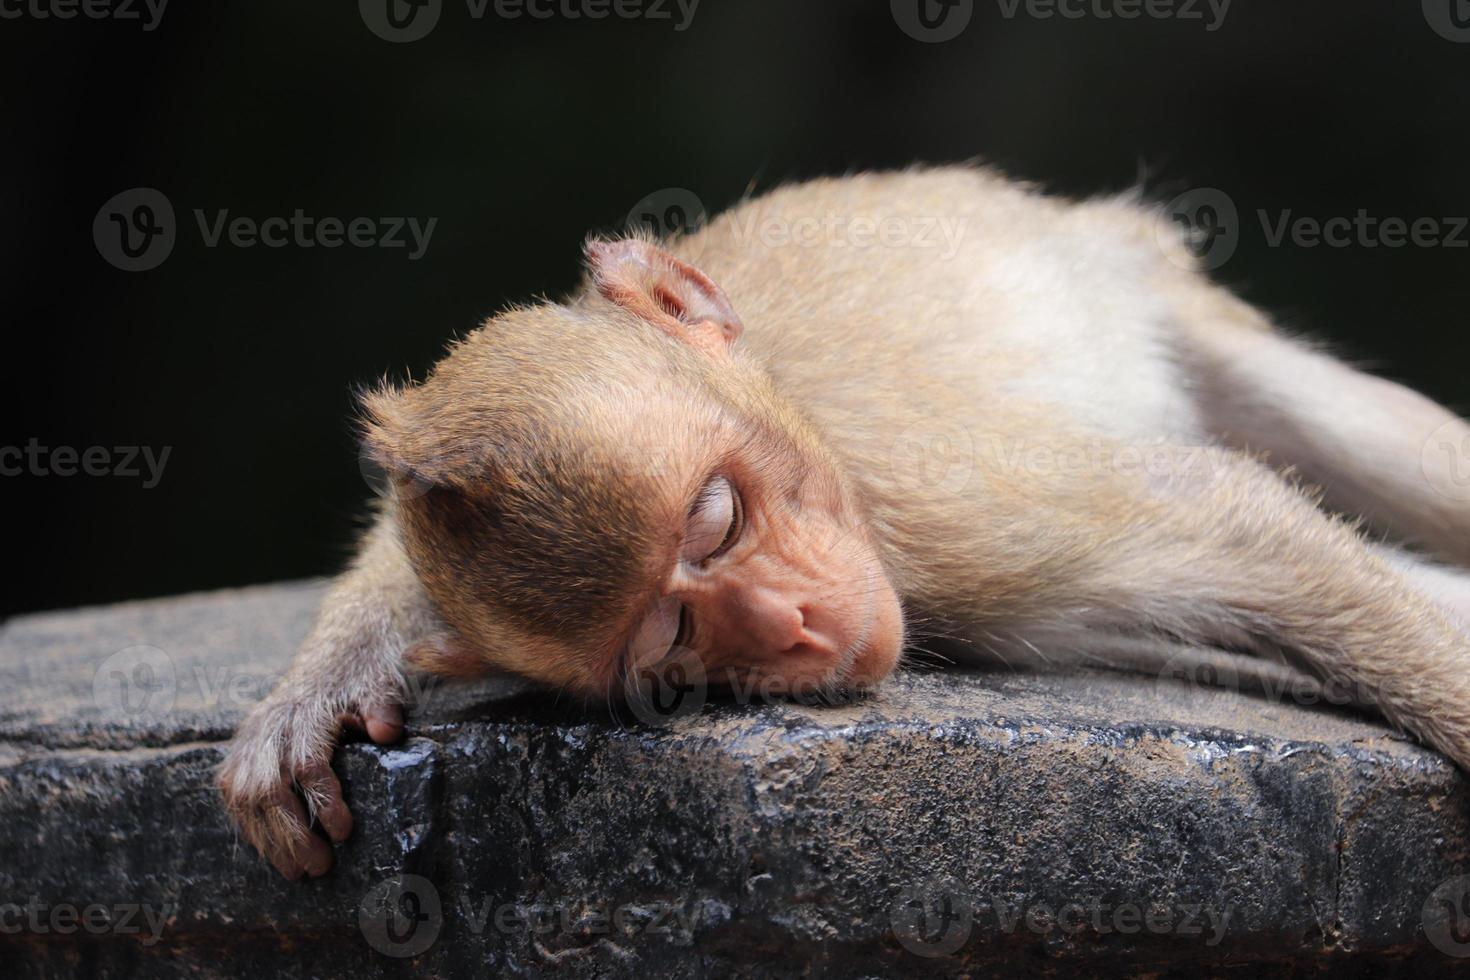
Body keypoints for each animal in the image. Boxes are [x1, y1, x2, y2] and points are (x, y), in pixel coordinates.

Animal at [214, 166, 1470, 881]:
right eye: (668, 649)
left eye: (716, 517)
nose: (799, 621)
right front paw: (325, 680)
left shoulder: (948, 502)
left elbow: (1227, 516)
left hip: (1138, 284)